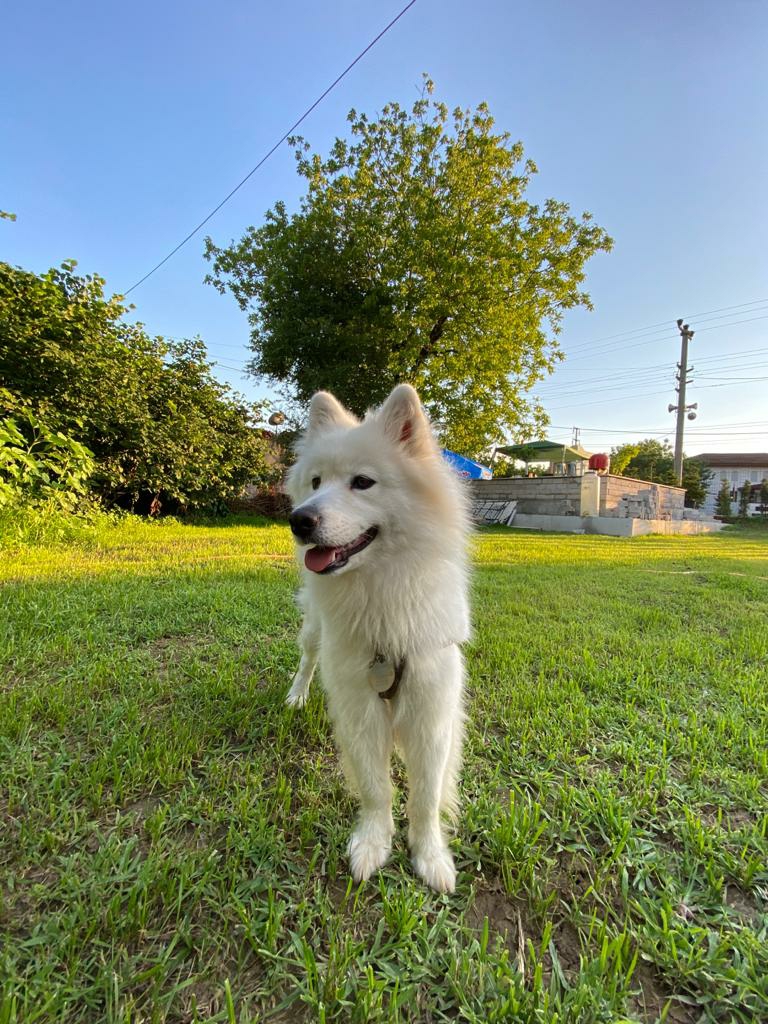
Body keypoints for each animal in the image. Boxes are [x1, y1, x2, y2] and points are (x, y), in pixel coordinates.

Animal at [286, 385, 473, 897]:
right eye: (316, 482)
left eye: (363, 482)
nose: (298, 520)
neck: (382, 594)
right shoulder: (359, 708)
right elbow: (376, 788)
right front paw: (373, 844)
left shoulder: (432, 710)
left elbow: (425, 796)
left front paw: (430, 857)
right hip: (315, 632)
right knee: (307, 658)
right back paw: (296, 695)